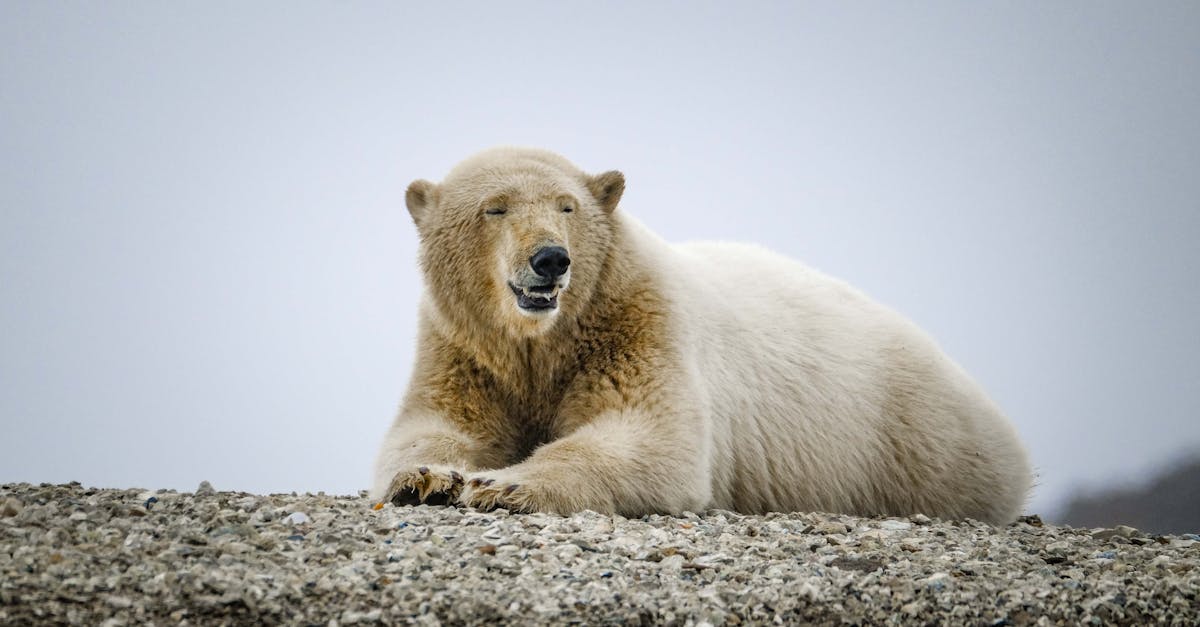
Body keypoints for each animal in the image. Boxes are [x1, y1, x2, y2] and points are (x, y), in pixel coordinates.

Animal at [372, 146, 1032, 521]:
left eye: (566, 206)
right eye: (496, 207)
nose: (551, 260)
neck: (546, 339)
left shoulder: (637, 323)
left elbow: (650, 437)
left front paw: (500, 484)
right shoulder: (464, 348)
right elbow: (436, 425)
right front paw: (429, 478)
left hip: (910, 440)